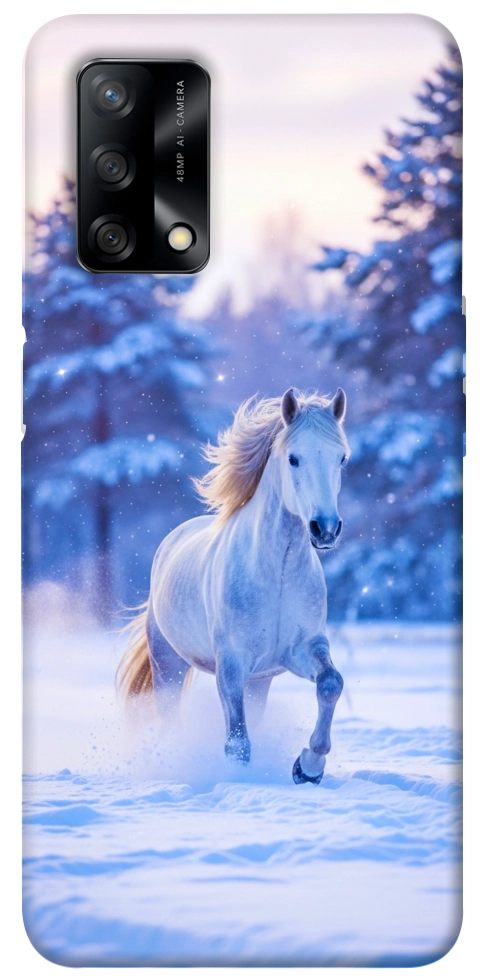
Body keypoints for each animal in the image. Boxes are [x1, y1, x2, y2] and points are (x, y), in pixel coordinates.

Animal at [118, 387, 350, 784]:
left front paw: (308, 767)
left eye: (341, 459)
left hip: (259, 682)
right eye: (294, 458)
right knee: (170, 717)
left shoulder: (301, 649)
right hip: (168, 665)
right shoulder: (231, 664)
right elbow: (237, 742)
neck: (277, 573)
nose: (325, 529)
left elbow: (331, 683)